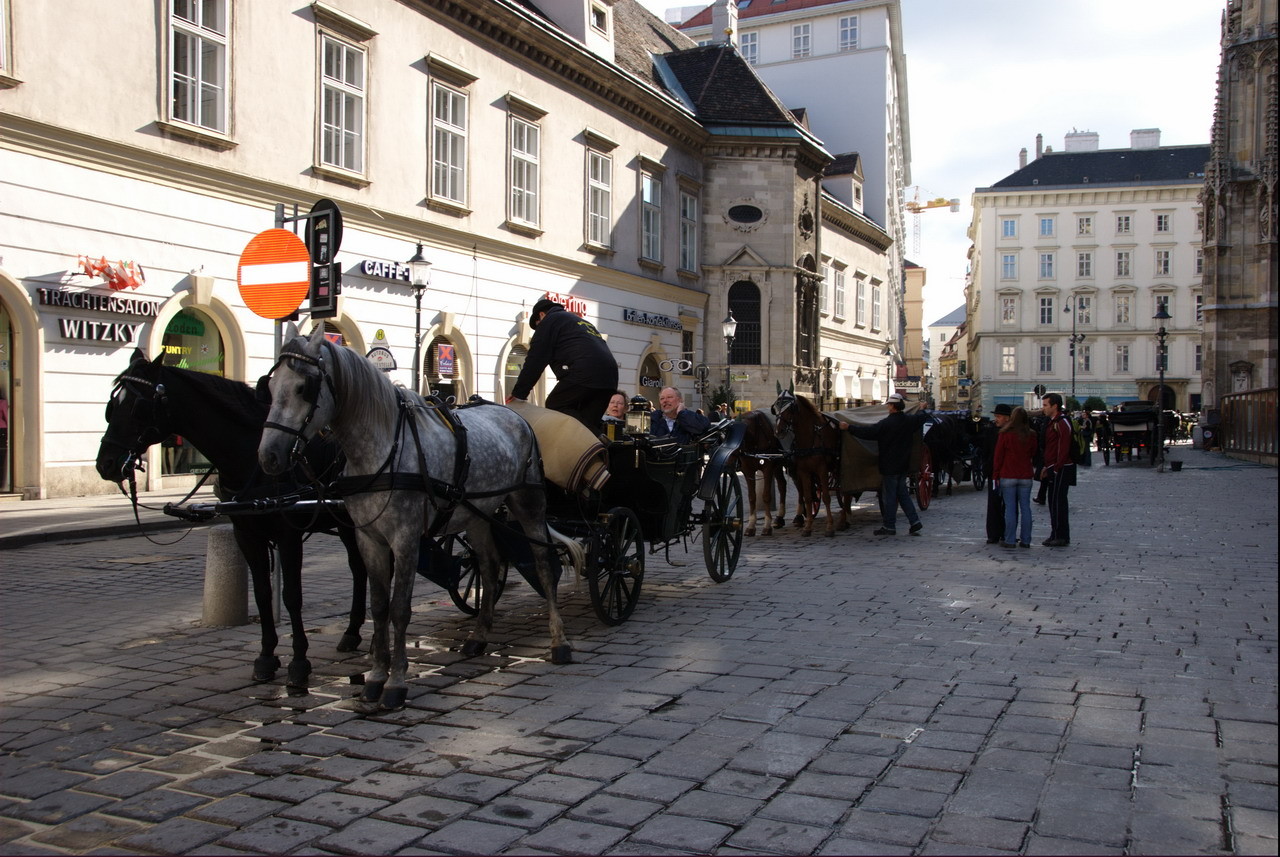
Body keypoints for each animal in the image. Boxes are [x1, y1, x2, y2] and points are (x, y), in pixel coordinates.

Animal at [96, 345, 368, 690]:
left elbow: (291, 596)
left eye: (137, 407)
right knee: (360, 570)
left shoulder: (289, 535)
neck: (252, 459)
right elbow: (263, 594)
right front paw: (265, 657)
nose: (105, 463)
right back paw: (352, 632)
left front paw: (299, 662)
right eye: (110, 406)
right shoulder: (246, 534)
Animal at [259, 323, 570, 711]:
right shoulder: (369, 539)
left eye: (304, 387)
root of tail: (516, 414)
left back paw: (558, 640)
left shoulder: (405, 538)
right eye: (271, 387)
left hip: (528, 503)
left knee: (543, 564)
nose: (268, 456)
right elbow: (379, 606)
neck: (382, 451)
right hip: (478, 516)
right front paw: (375, 677)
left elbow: (400, 609)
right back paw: (479, 635)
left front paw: (396, 682)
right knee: (488, 566)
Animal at [773, 388, 844, 539]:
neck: (809, 438)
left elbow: (826, 497)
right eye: (775, 407)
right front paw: (807, 527)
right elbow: (808, 497)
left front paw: (829, 527)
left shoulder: (822, 470)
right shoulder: (804, 472)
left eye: (790, 408)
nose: (778, 431)